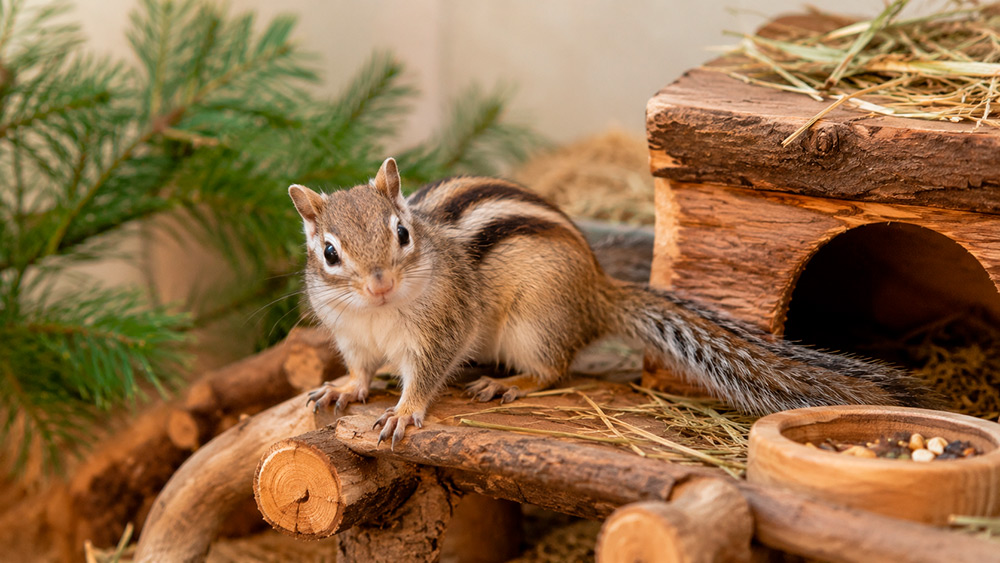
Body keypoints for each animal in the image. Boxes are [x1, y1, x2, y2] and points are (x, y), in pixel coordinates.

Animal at [289, 157, 936, 448]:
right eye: (329, 253)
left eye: (402, 233)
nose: (378, 283)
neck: (377, 314)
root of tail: (597, 290)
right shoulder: (350, 335)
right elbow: (359, 369)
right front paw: (343, 389)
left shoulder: (442, 328)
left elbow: (423, 376)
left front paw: (403, 411)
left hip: (535, 323)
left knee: (553, 368)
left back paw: (509, 382)